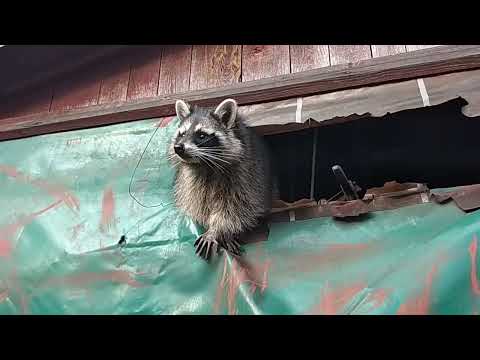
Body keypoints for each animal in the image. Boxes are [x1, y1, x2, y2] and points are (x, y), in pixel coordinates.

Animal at [169, 98, 274, 260]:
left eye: (201, 135)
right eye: (182, 134)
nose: (178, 147)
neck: (205, 164)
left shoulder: (245, 176)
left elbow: (237, 208)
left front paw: (217, 230)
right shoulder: (191, 180)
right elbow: (197, 204)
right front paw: (211, 227)